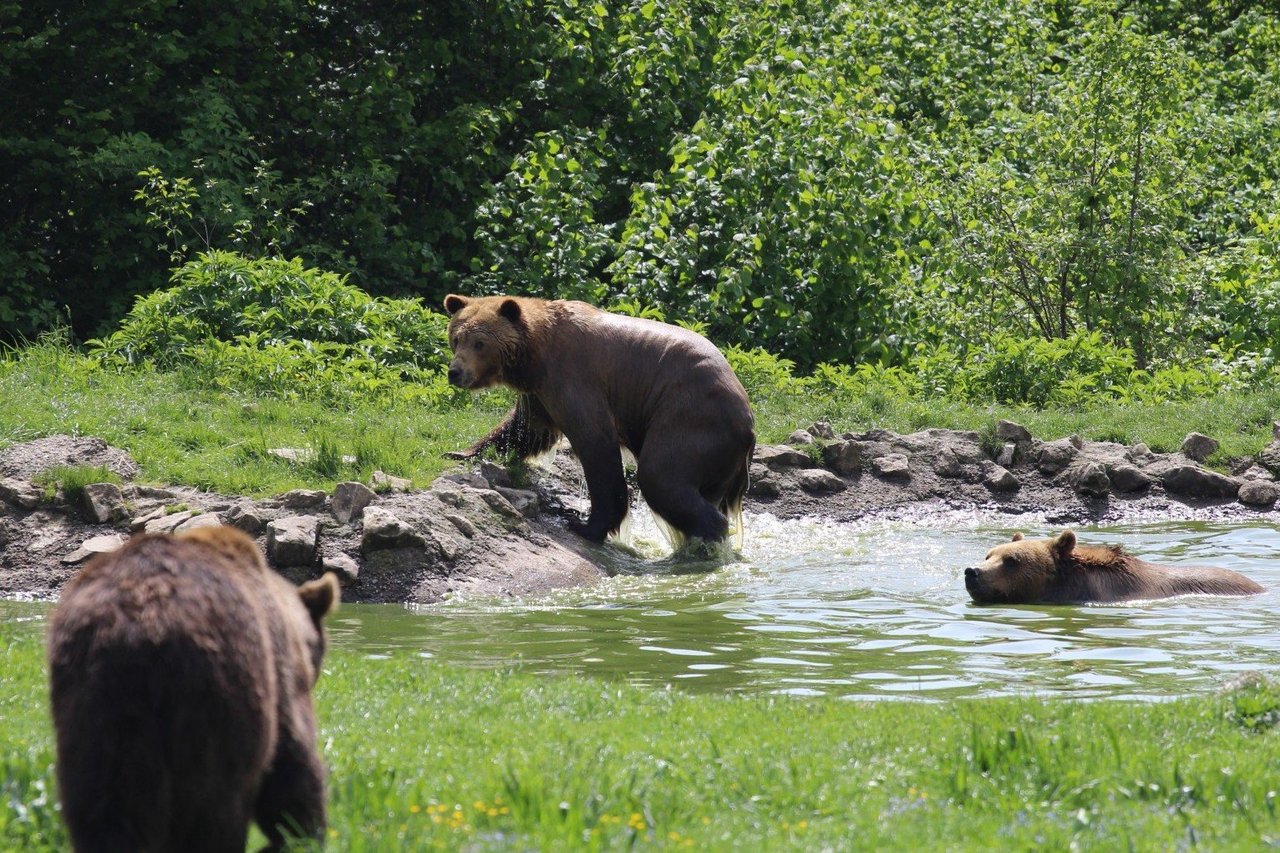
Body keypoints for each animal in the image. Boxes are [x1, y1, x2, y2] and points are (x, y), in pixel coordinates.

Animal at [48, 525, 340, 850]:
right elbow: (292, 760)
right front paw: (303, 834)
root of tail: (142, 627)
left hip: (97, 706)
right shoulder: (278, 671)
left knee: (105, 806)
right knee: (214, 808)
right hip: (217, 699)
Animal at [442, 292, 752, 545]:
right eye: (456, 338)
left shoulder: (575, 377)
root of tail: (749, 422)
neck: (535, 356)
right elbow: (525, 429)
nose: (455, 372)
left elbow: (595, 443)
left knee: (662, 475)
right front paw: (461, 452)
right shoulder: (539, 393)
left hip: (691, 415)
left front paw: (586, 524)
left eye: (480, 343)